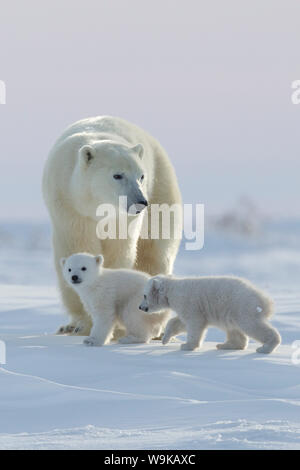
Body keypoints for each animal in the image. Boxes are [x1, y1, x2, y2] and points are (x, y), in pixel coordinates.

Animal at [43, 114, 182, 334]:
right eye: (117, 175)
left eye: (141, 175)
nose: (140, 202)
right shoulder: (70, 207)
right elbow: (78, 247)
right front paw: (83, 323)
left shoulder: (122, 219)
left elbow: (120, 253)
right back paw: (68, 326)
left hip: (161, 187)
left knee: (155, 252)